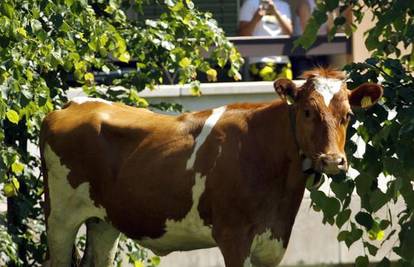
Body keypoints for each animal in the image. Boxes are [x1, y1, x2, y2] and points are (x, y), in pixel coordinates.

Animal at [41, 69, 382, 267]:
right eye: (308, 111)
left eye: (348, 115)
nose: (332, 160)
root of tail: (73, 104)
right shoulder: (233, 237)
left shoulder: (272, 244)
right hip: (59, 218)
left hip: (103, 220)